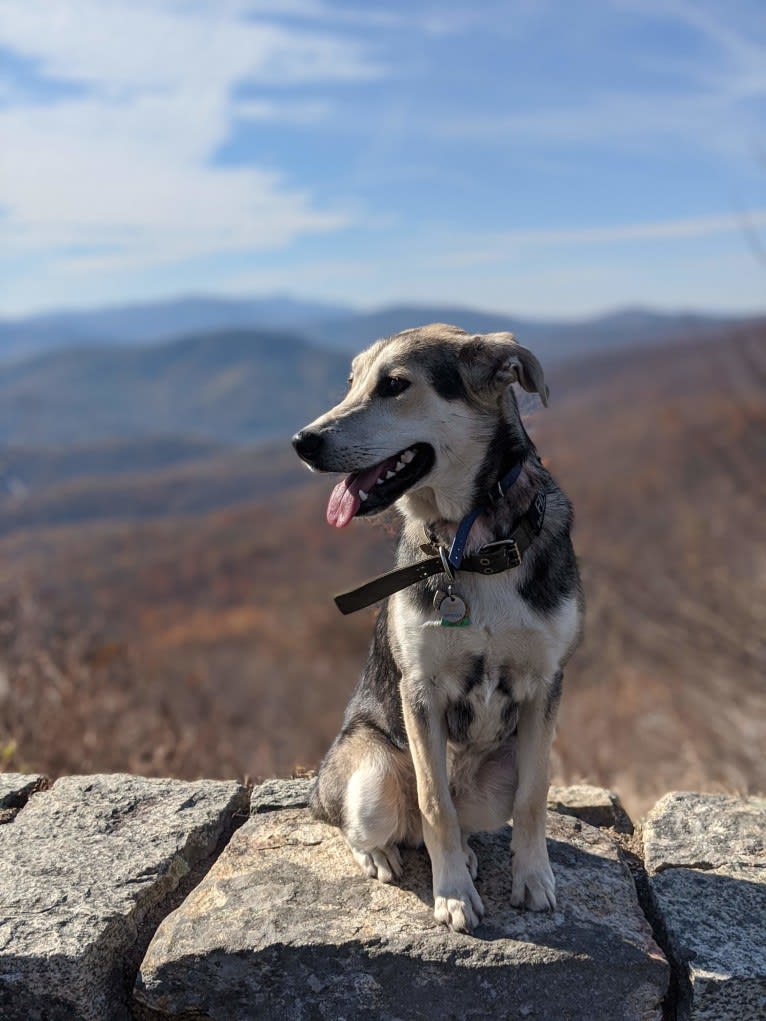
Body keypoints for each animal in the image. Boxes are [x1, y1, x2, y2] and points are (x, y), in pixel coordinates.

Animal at [290, 324, 584, 935]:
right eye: (351, 382)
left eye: (395, 385)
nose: (302, 443)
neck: (472, 548)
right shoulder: (419, 690)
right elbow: (433, 802)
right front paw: (452, 896)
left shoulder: (545, 684)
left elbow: (534, 796)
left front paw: (533, 879)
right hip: (369, 772)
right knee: (370, 823)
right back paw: (383, 854)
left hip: (498, 772)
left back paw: (469, 854)